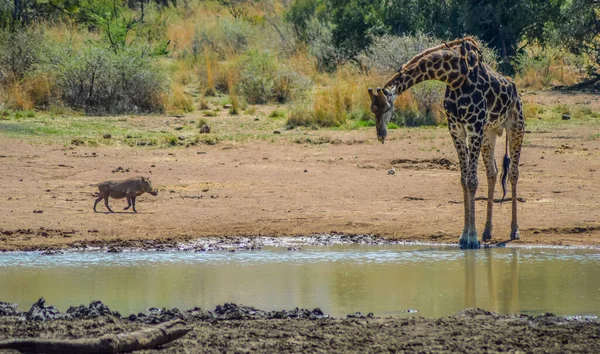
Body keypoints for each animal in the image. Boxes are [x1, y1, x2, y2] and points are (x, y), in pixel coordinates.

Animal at [368, 37, 524, 249]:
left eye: (386, 108)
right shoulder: (456, 130)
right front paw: (464, 237)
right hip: (489, 133)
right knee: (492, 172)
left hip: (515, 126)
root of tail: (515, 91)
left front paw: (472, 239)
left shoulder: (473, 127)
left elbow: (472, 181)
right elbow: (464, 180)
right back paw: (487, 231)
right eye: (372, 109)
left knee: (514, 173)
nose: (381, 135)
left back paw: (514, 230)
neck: (455, 77)